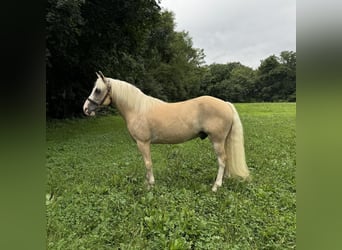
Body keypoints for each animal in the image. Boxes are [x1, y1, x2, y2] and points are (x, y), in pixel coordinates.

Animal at [83, 72, 248, 191]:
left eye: (97, 90)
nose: (85, 109)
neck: (137, 109)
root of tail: (225, 103)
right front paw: (147, 183)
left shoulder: (143, 143)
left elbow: (148, 163)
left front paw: (150, 185)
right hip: (222, 141)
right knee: (226, 159)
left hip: (217, 140)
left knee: (222, 160)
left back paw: (216, 186)